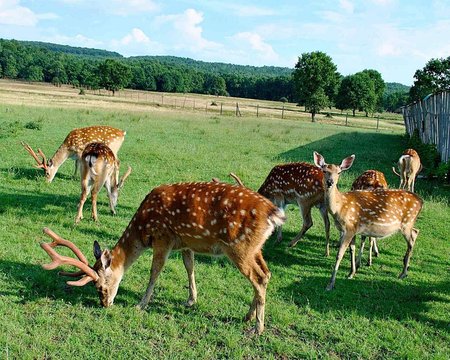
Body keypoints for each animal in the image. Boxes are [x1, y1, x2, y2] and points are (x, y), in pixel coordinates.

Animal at [38, 183, 284, 334]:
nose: (104, 304)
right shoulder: (186, 242)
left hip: (239, 247)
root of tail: (275, 214)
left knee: (258, 278)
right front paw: (191, 300)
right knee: (266, 273)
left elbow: (155, 271)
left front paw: (141, 304)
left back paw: (257, 327)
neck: (143, 229)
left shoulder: (163, 237)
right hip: (255, 248)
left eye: (100, 286)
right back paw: (248, 316)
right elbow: (189, 267)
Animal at [312, 151, 422, 290]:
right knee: (416, 231)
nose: (330, 182)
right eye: (324, 170)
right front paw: (351, 272)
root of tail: (421, 201)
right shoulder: (352, 229)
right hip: (409, 223)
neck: (339, 207)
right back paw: (405, 269)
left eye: (339, 172)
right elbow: (352, 250)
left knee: (412, 238)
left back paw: (403, 273)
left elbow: (339, 254)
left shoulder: (349, 228)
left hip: (406, 222)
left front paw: (330, 283)